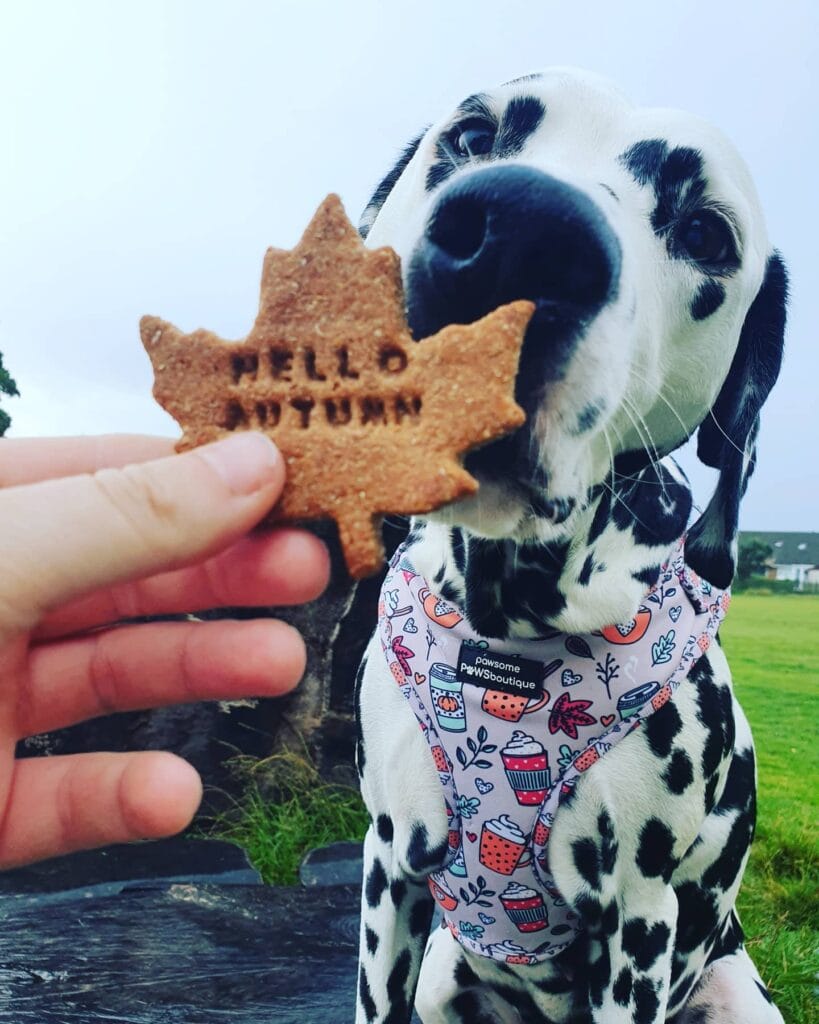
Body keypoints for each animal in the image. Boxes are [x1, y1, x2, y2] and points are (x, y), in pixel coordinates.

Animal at [353, 68, 787, 1024]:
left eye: (704, 231)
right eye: (472, 135)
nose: (519, 234)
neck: (508, 627)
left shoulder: (640, 922)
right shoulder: (387, 865)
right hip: (439, 974)